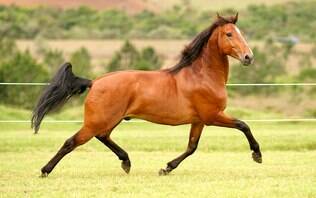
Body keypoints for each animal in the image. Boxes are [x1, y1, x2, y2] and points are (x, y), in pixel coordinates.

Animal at [32, 12, 262, 176]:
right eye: (229, 34)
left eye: (240, 32)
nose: (248, 57)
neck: (202, 76)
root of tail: (94, 82)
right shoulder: (212, 116)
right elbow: (243, 125)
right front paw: (257, 154)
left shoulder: (199, 120)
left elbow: (192, 146)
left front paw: (166, 168)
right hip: (97, 121)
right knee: (71, 142)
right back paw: (45, 170)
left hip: (111, 120)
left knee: (103, 136)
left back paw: (126, 162)